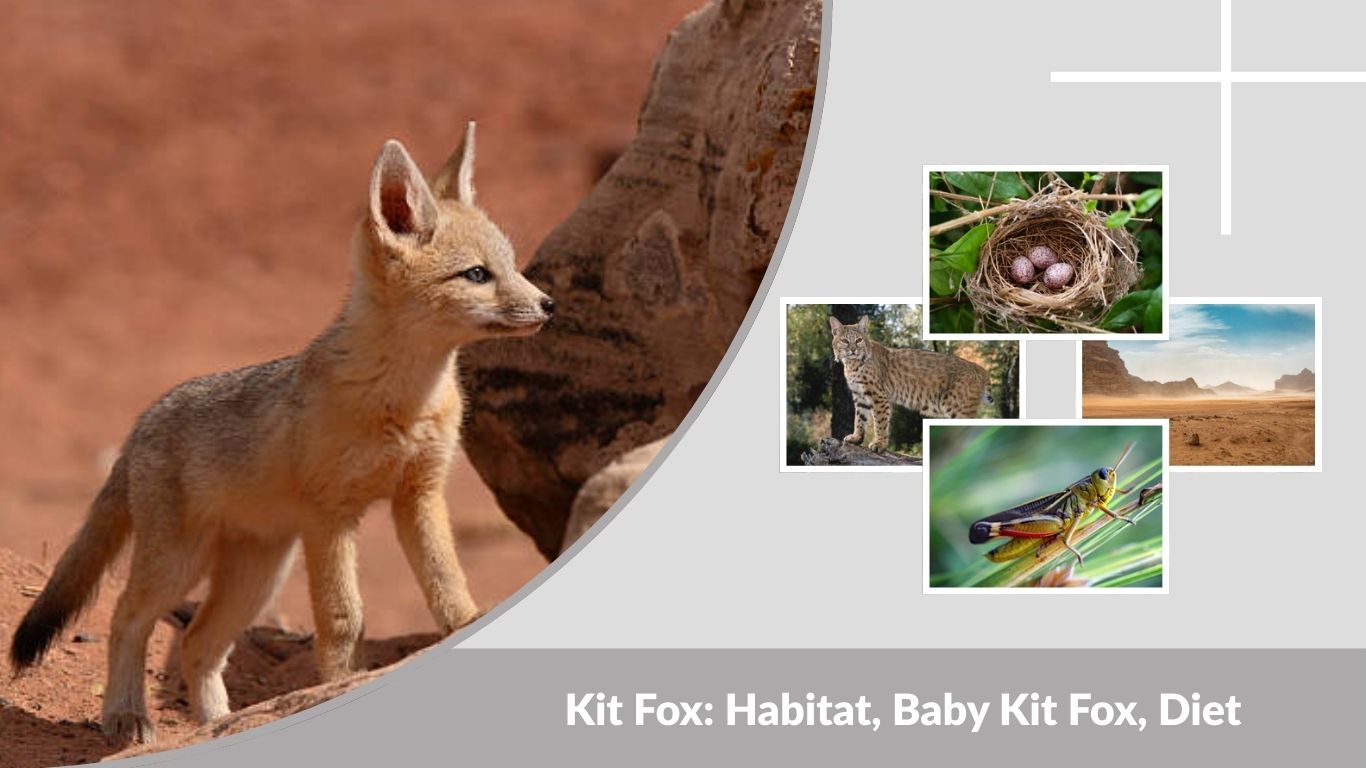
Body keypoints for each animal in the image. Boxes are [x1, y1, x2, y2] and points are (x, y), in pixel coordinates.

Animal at [7, 123, 554, 744]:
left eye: (512, 266)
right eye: (478, 275)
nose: (549, 304)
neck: (403, 399)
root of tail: (144, 420)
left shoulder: (419, 495)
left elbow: (449, 587)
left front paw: (465, 627)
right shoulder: (329, 516)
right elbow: (343, 619)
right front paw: (339, 684)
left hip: (258, 575)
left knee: (196, 644)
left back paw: (219, 723)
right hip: (179, 565)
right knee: (127, 618)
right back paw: (126, 716)